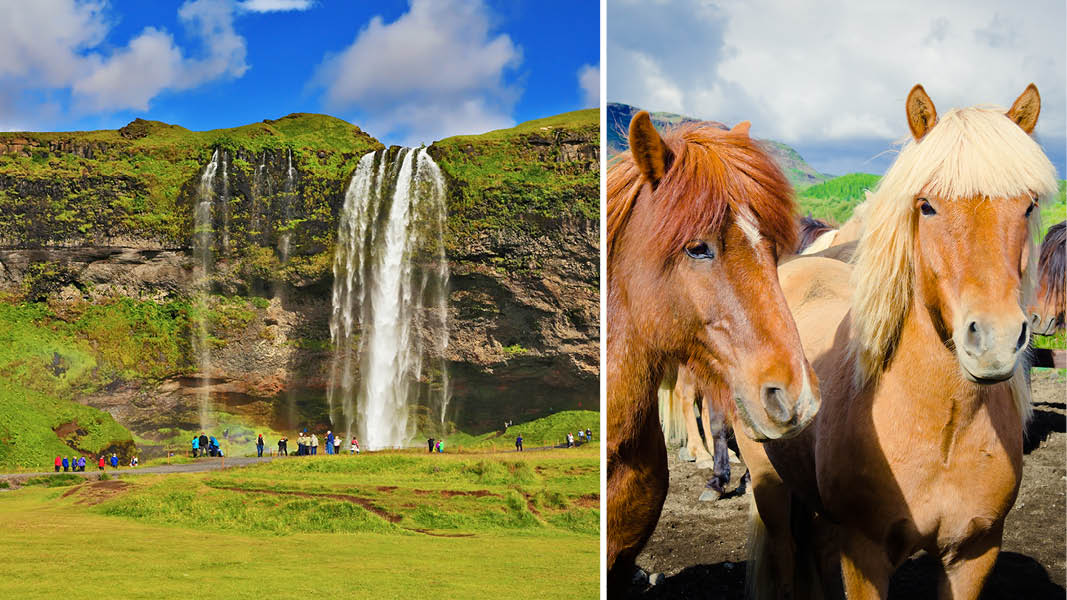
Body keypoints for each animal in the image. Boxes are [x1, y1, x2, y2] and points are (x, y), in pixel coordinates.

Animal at [734, 84, 1058, 597]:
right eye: (926, 205)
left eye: (1027, 205)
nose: (995, 340)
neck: (943, 430)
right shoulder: (865, 553)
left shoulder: (973, 556)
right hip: (770, 484)